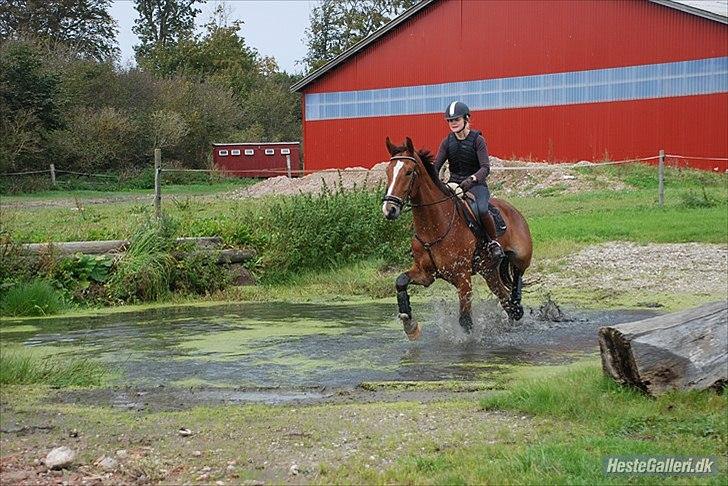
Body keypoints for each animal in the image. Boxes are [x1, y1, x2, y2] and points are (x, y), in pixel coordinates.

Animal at [382, 137, 536, 342]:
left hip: (520, 257)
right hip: (489, 272)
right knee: (506, 301)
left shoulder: (462, 278)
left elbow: (465, 320)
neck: (434, 227)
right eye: (388, 171)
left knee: (517, 279)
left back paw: (516, 301)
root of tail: (513, 210)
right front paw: (410, 326)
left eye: (408, 172)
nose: (389, 209)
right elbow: (400, 281)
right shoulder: (426, 274)